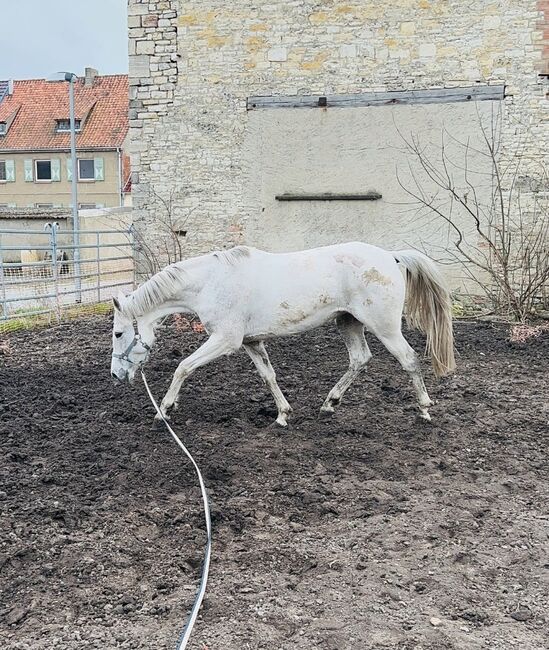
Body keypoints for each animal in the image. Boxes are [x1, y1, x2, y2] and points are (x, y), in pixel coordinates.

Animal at [111, 240, 454, 422]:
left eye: (117, 334)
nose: (116, 374)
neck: (211, 282)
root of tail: (390, 256)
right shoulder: (251, 342)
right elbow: (269, 375)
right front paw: (282, 414)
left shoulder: (225, 340)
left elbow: (183, 367)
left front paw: (164, 409)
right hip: (347, 321)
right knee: (360, 359)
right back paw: (330, 402)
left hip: (384, 327)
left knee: (409, 359)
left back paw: (424, 409)